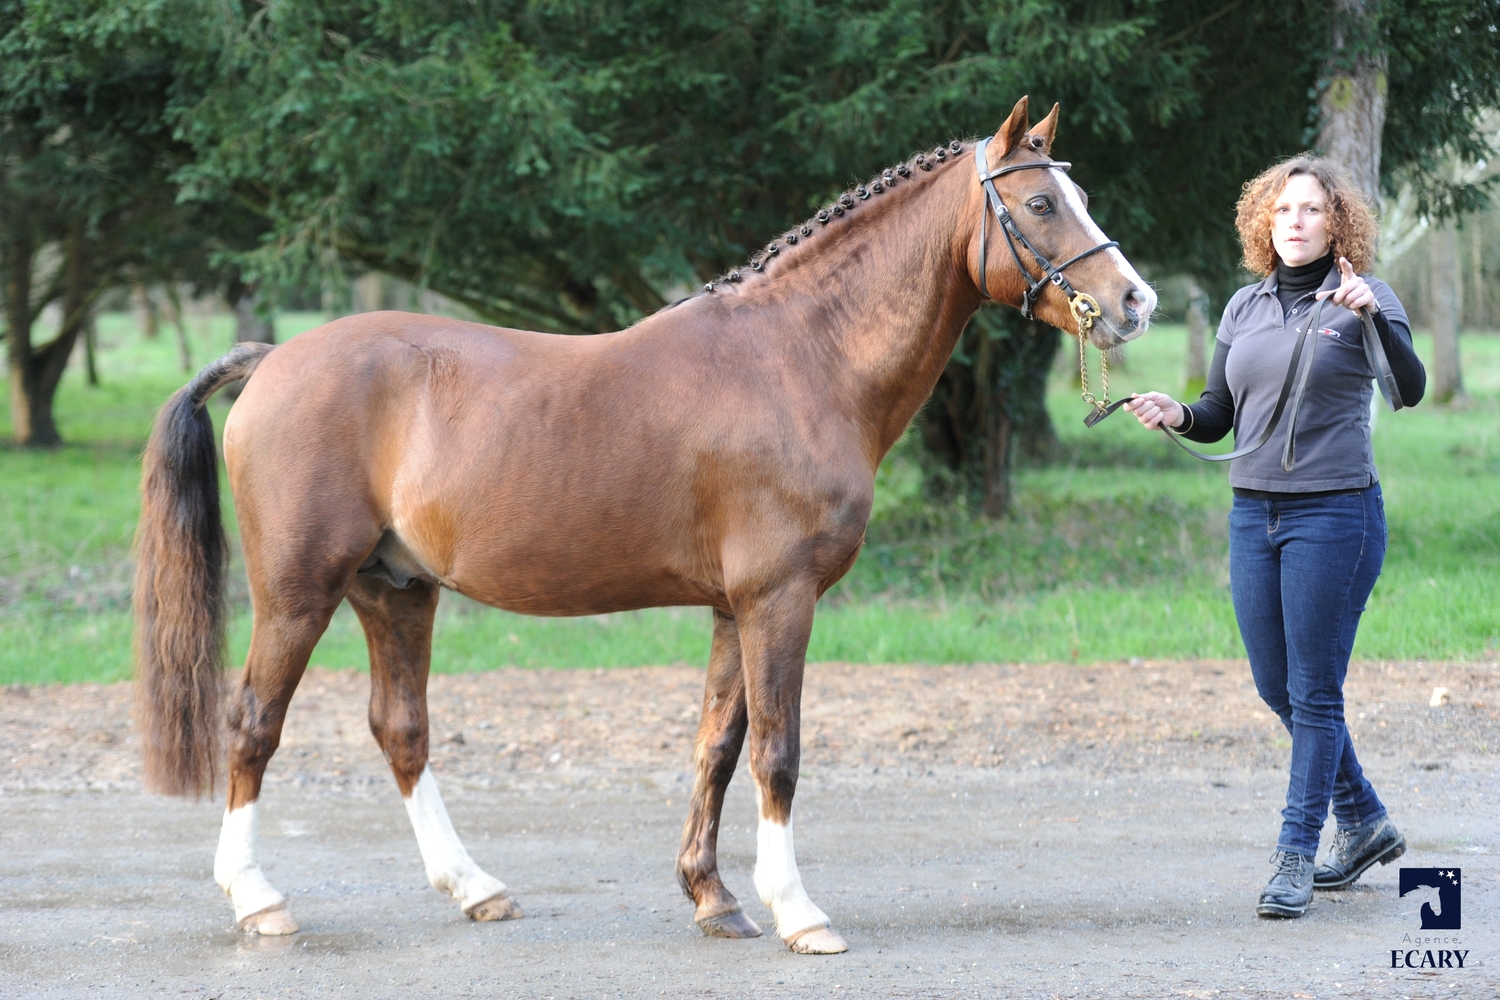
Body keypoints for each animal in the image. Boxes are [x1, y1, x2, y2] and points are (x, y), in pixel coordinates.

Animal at [135, 95, 1152, 953]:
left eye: (1080, 195)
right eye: (1039, 202)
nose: (1135, 302)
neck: (801, 358)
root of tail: (272, 361)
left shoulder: (733, 608)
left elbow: (718, 747)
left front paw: (714, 897)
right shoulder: (779, 599)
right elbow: (778, 753)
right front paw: (799, 912)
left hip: (394, 589)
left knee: (401, 730)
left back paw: (475, 888)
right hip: (298, 591)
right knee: (253, 723)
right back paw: (260, 901)